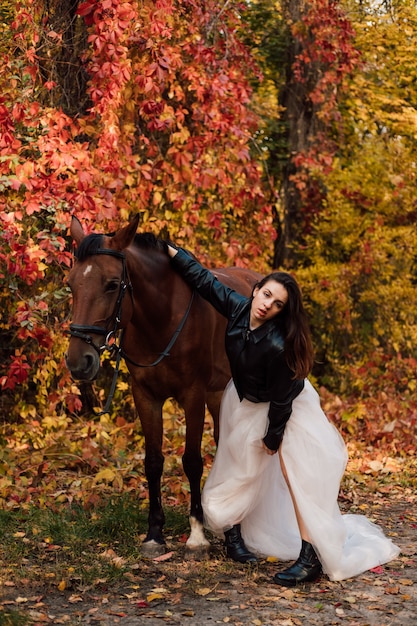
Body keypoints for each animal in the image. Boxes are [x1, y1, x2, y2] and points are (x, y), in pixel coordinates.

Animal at [65, 216, 260, 556]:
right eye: (71, 284)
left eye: (112, 284)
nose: (79, 361)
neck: (162, 318)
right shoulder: (146, 396)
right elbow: (153, 461)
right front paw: (155, 533)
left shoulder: (193, 395)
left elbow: (192, 461)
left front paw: (196, 534)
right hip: (219, 394)